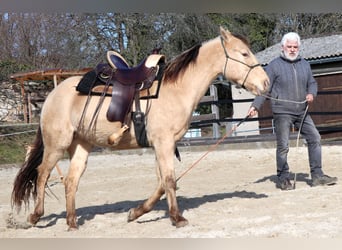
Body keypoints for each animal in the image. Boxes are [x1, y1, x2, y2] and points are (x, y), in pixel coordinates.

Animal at [10, 26, 270, 229]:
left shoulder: (162, 145)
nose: (266, 83)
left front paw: (135, 213)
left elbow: (162, 183)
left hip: (81, 146)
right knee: (42, 174)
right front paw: (177, 218)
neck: (176, 89)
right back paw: (35, 216)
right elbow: (169, 180)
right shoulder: (164, 143)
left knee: (71, 181)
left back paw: (72, 222)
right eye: (244, 53)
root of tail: (52, 95)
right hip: (57, 145)